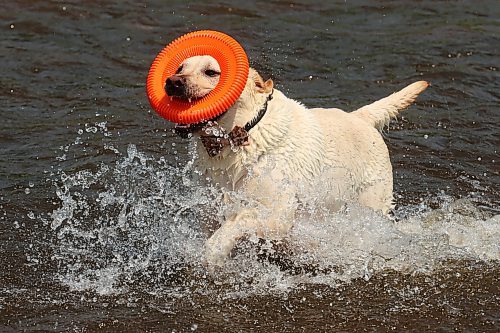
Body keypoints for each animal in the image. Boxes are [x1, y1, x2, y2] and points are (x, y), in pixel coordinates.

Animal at [165, 54, 430, 268]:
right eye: (180, 67)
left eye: (211, 72)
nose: (172, 82)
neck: (242, 137)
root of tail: (360, 117)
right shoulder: (211, 208)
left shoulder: (278, 214)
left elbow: (240, 220)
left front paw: (214, 252)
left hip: (370, 206)